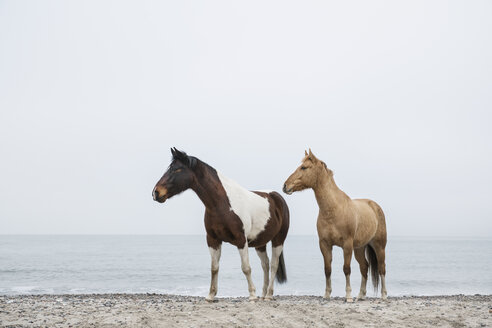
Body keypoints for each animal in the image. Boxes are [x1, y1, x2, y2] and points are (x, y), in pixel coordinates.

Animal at [154, 147, 290, 302]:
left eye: (177, 169)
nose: (156, 192)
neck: (222, 203)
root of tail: (277, 197)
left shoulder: (241, 241)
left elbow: (246, 268)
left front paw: (252, 295)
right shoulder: (213, 240)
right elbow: (214, 267)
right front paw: (210, 295)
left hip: (278, 240)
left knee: (273, 265)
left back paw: (268, 295)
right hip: (260, 243)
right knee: (265, 265)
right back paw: (263, 294)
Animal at [282, 150, 386, 302]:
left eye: (304, 167)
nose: (285, 186)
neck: (334, 209)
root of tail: (375, 206)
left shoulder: (347, 245)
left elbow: (346, 269)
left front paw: (348, 296)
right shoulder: (324, 244)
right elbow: (327, 269)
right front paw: (326, 294)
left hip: (379, 246)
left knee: (381, 268)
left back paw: (383, 295)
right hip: (359, 248)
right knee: (364, 267)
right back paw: (360, 295)